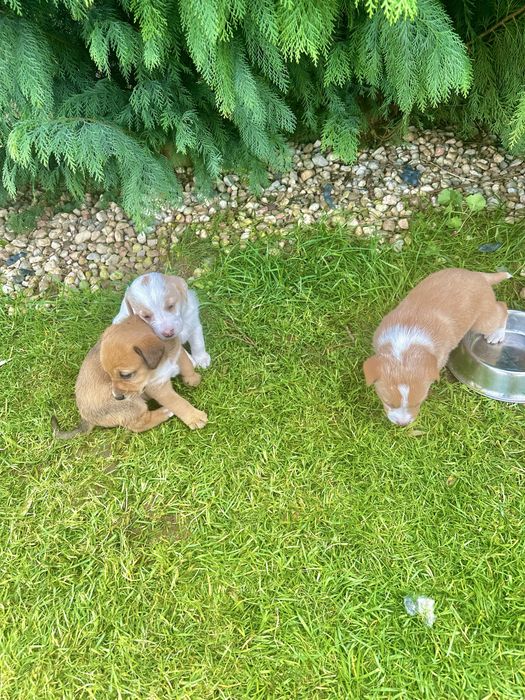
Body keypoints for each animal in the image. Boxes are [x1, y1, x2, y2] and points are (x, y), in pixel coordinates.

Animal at [52, 315, 208, 438]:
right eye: (108, 374)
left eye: (126, 375)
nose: (117, 397)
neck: (159, 363)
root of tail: (85, 417)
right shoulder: (157, 387)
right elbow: (177, 402)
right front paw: (195, 417)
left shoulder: (176, 351)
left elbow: (186, 364)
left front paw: (192, 378)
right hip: (134, 404)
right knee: (138, 424)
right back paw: (165, 412)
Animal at [363, 268, 510, 425]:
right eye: (388, 403)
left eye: (418, 402)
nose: (403, 424)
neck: (404, 350)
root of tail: (479, 275)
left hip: (483, 321)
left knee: (502, 308)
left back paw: (497, 334)